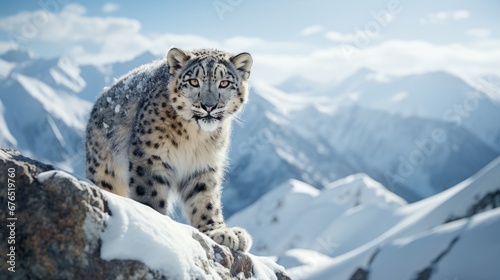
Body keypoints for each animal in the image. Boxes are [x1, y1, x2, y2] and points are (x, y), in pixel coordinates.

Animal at [85, 48, 254, 252]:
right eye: (193, 81)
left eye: (224, 83)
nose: (209, 106)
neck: (195, 137)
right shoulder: (150, 157)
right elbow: (149, 192)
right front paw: (154, 219)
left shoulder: (204, 165)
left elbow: (205, 198)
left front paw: (219, 231)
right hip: (105, 172)